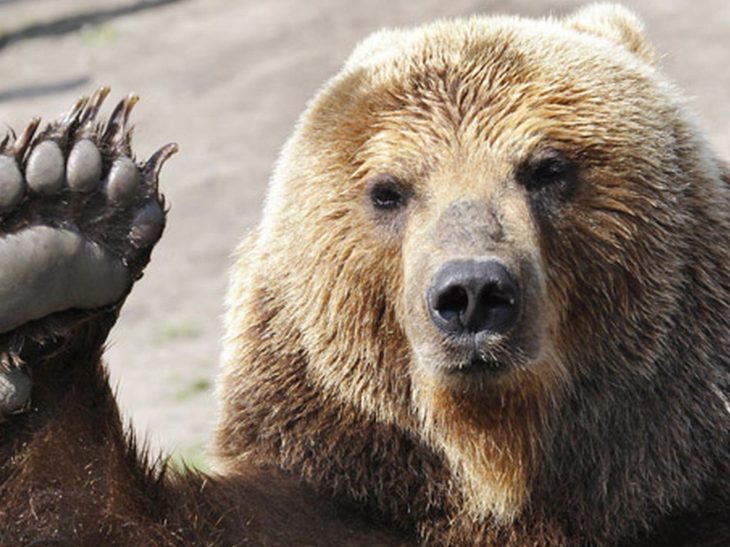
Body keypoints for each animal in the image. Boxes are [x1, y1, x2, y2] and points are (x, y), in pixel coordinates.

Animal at [0, 3, 728, 546]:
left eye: (548, 167)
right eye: (388, 190)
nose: (472, 293)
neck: (493, 472)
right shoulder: (327, 504)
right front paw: (61, 211)